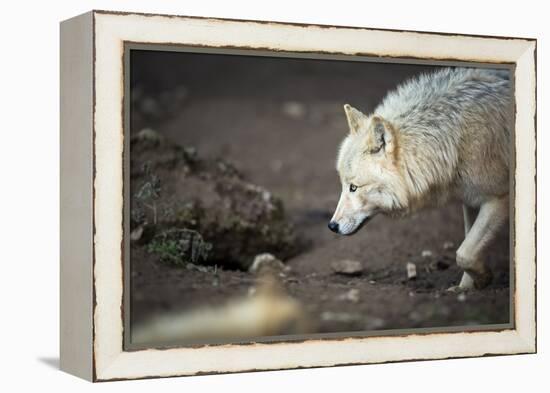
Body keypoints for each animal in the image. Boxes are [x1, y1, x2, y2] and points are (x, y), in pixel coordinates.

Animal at [328, 67, 512, 290]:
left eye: (354, 187)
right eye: (343, 185)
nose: (331, 226)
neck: (454, 141)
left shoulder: (499, 198)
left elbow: (463, 253)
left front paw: (483, 278)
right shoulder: (470, 201)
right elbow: (469, 246)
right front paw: (466, 290)